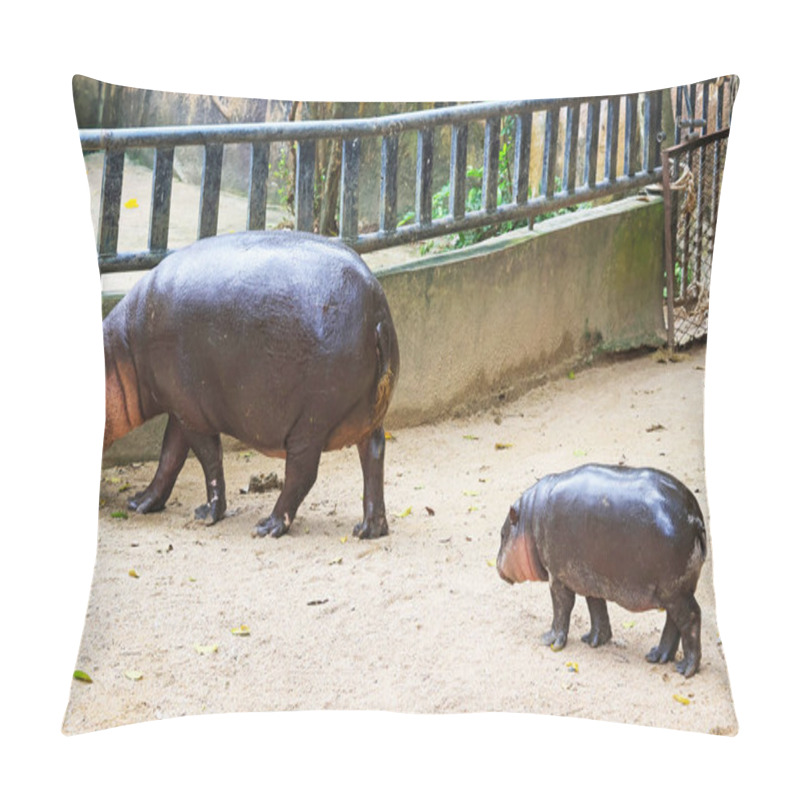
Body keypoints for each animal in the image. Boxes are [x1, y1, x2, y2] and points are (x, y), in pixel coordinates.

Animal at [102, 230, 400, 536]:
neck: (120, 350)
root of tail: (378, 315)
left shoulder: (191, 413)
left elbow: (208, 459)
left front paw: (207, 515)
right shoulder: (181, 410)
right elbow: (169, 458)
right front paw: (139, 503)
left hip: (312, 421)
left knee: (302, 473)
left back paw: (268, 526)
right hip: (366, 417)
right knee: (374, 454)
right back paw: (368, 529)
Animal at [496, 466, 708, 680]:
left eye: (502, 534)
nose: (496, 565)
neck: (529, 520)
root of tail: (695, 518)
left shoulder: (557, 576)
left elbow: (562, 607)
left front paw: (548, 640)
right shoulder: (590, 578)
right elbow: (596, 608)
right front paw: (593, 640)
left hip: (674, 591)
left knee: (691, 617)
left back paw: (685, 669)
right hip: (674, 592)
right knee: (673, 622)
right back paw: (657, 656)